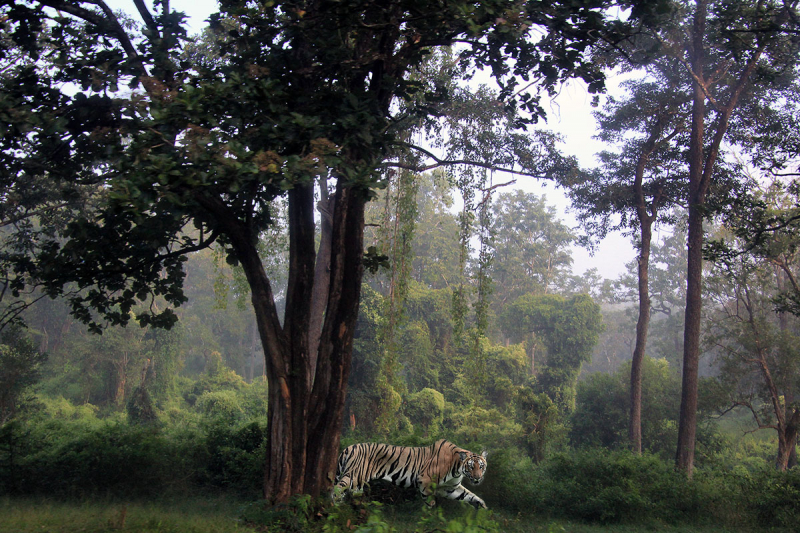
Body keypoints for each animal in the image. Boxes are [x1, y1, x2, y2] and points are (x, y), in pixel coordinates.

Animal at [332, 438, 488, 510]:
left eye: (481, 467)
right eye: (471, 467)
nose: (477, 478)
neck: (457, 469)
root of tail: (348, 447)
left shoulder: (449, 488)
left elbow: (469, 495)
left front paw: (483, 507)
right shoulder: (425, 480)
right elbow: (429, 501)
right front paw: (429, 517)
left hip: (357, 483)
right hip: (354, 475)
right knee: (337, 489)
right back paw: (335, 507)